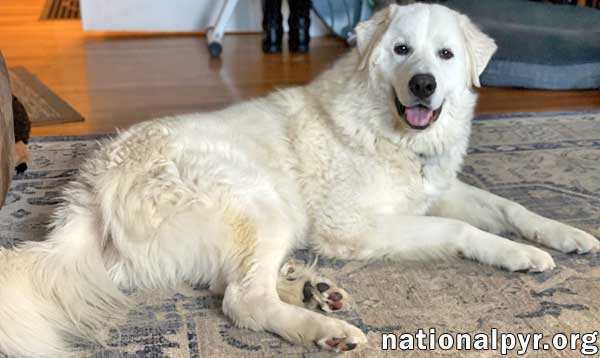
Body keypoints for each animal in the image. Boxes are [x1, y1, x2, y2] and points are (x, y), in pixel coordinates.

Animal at [1, 3, 600, 358]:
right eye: (402, 50)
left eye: (447, 54)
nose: (424, 84)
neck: (390, 134)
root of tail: (93, 188)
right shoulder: (355, 227)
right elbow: (462, 232)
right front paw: (514, 253)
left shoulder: (439, 190)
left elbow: (511, 209)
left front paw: (560, 237)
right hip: (260, 203)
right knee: (242, 300)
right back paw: (324, 329)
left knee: (232, 281)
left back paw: (315, 289)